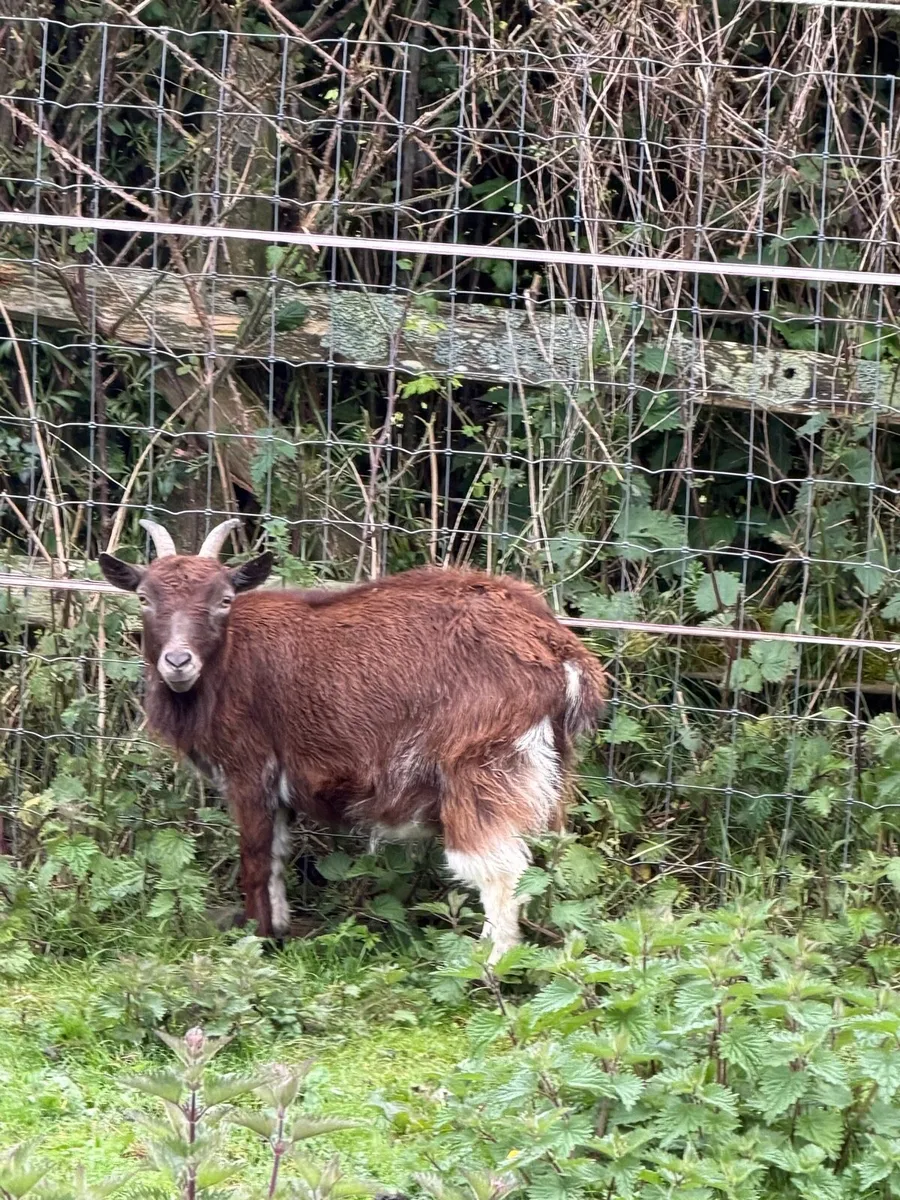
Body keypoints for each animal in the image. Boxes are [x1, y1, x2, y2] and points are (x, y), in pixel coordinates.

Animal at [99, 518, 607, 959]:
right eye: (144, 597)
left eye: (223, 599)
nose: (177, 662)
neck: (229, 656)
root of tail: (558, 649)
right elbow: (278, 853)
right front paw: (279, 930)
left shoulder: (249, 769)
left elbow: (256, 857)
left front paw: (257, 940)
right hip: (550, 765)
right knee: (551, 856)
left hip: (483, 763)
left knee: (500, 868)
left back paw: (490, 966)